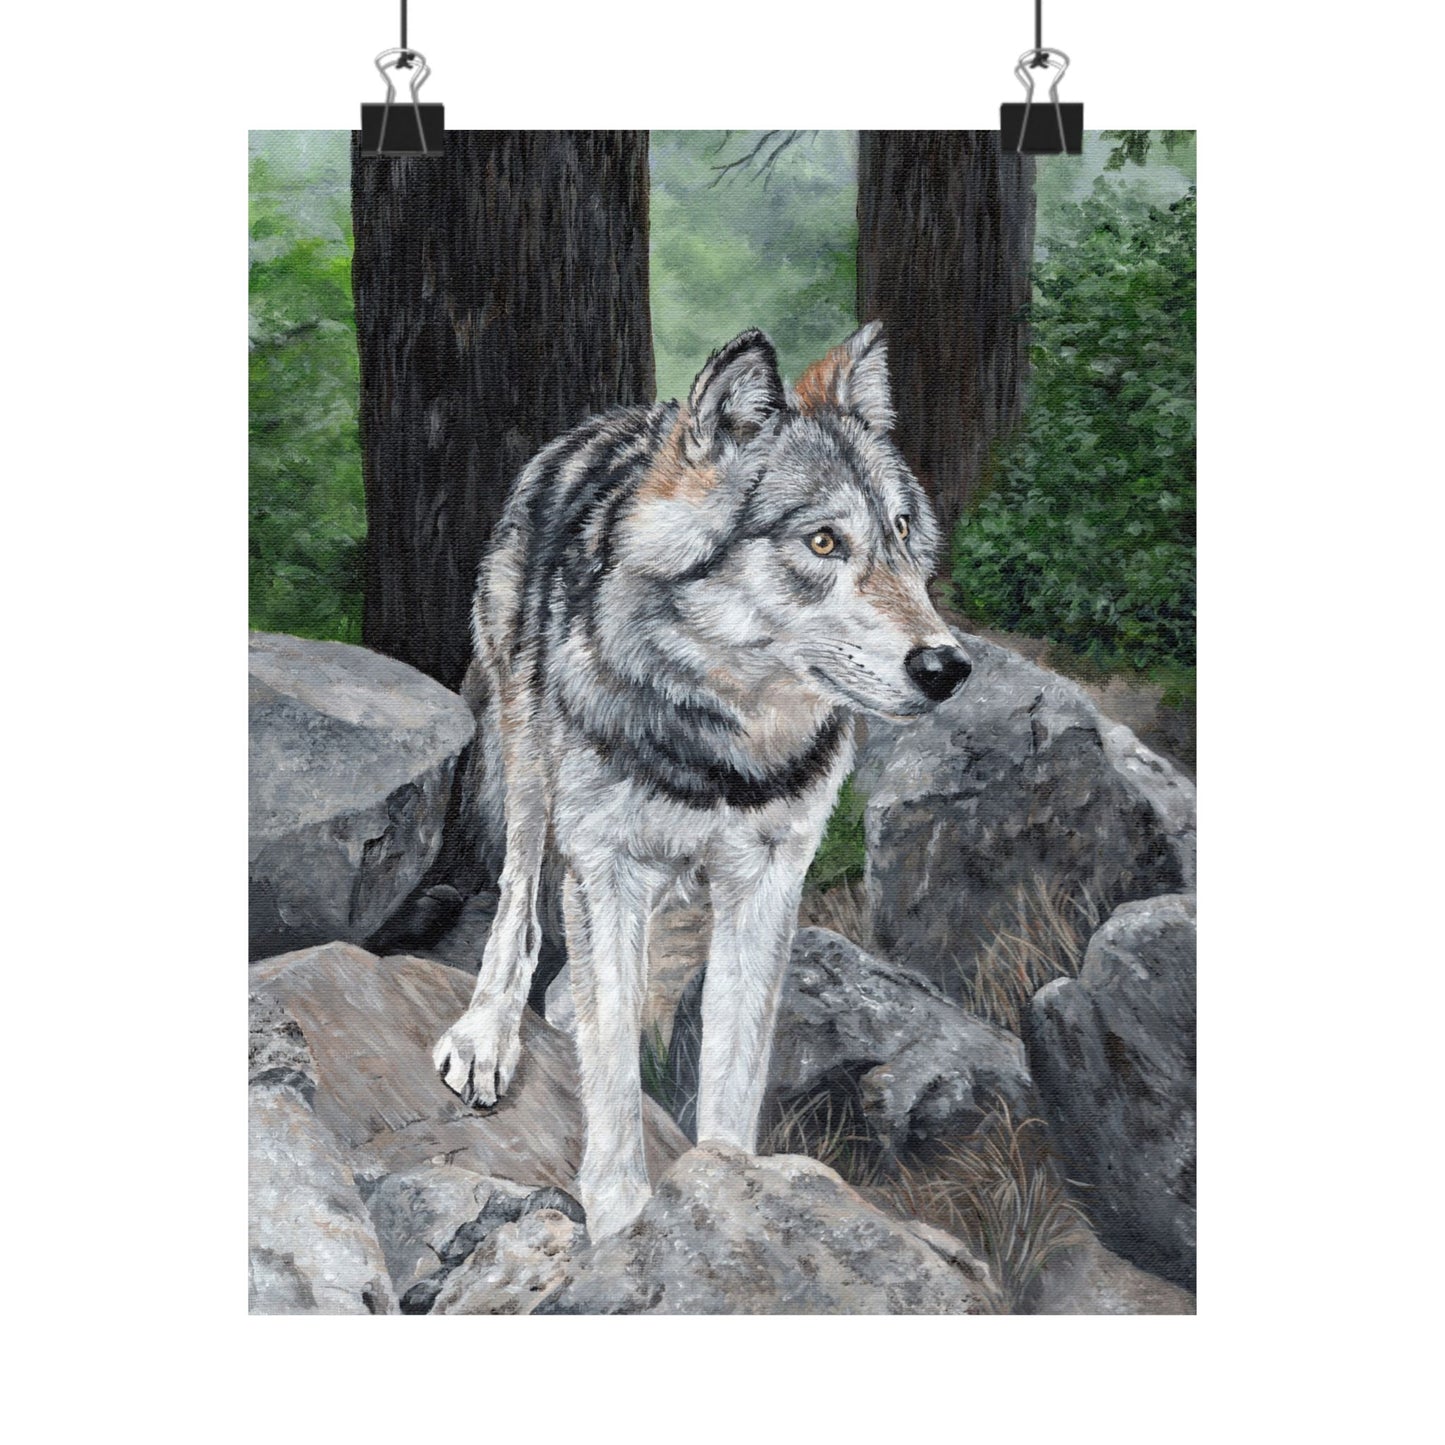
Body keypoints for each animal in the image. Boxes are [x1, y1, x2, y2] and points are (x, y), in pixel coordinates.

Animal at [433, 322, 972, 1238]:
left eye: (902, 531)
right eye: (823, 542)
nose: (948, 666)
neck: (723, 748)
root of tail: (613, 420)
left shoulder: (768, 879)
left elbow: (730, 1065)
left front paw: (730, 1194)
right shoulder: (606, 862)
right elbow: (614, 1070)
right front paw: (623, 1222)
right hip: (529, 761)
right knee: (518, 905)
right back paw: (489, 1031)